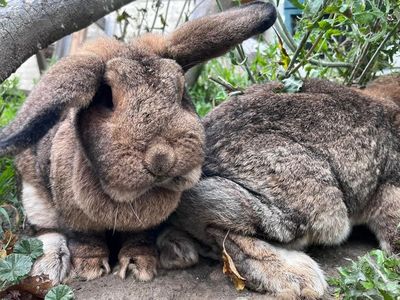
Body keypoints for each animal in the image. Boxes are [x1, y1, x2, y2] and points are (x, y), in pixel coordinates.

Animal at [0, 1, 278, 284]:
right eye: (108, 99)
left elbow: (140, 239)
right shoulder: (76, 219)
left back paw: (179, 250)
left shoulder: (145, 227)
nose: (161, 158)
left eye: (181, 92)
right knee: (45, 231)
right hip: (34, 196)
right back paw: (49, 267)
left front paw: (139, 265)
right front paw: (90, 268)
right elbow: (85, 239)